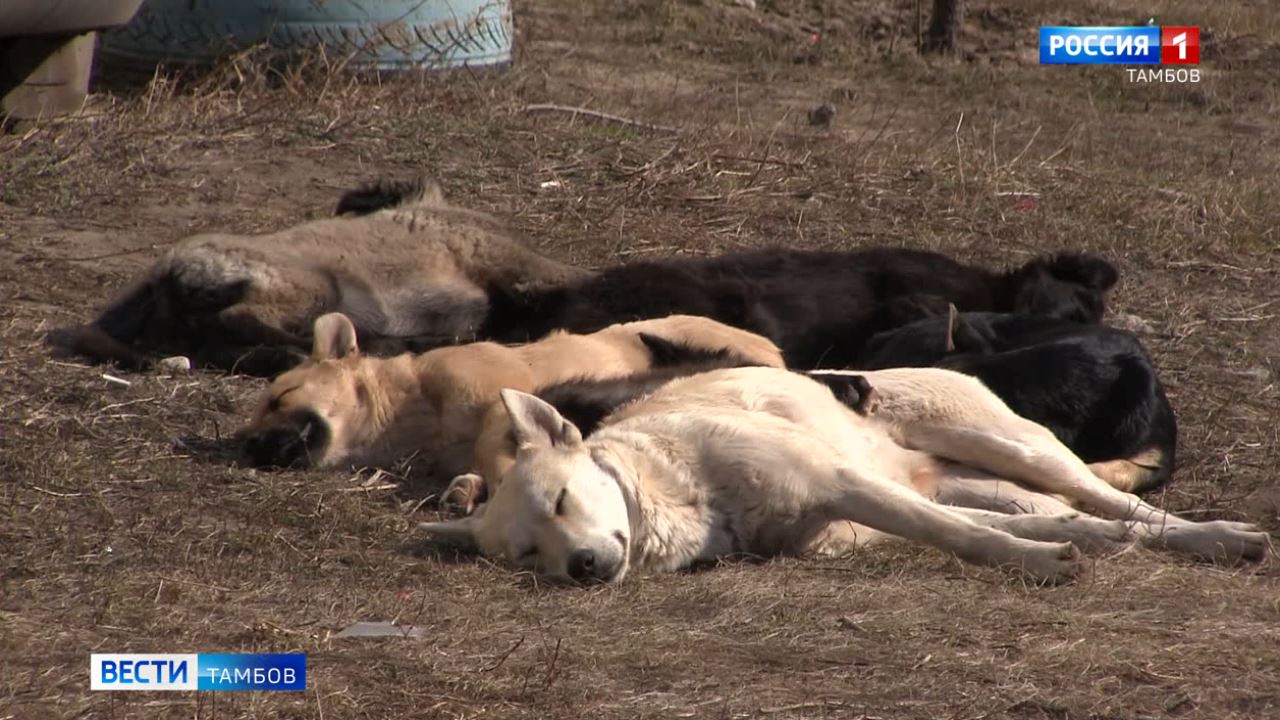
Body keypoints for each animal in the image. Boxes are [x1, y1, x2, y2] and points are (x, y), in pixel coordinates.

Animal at [47, 178, 586, 376]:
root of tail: (160, 274)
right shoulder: (508, 262)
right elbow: (566, 278)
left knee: (217, 344)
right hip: (314, 286)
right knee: (239, 322)